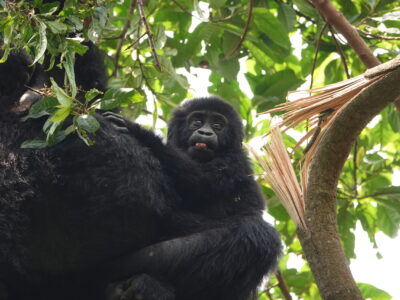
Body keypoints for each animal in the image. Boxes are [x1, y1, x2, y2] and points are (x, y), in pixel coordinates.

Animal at [102, 97, 282, 300]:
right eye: (197, 121)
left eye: (218, 125)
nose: (205, 132)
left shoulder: (234, 161)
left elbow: (201, 184)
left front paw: (140, 133)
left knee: (261, 235)